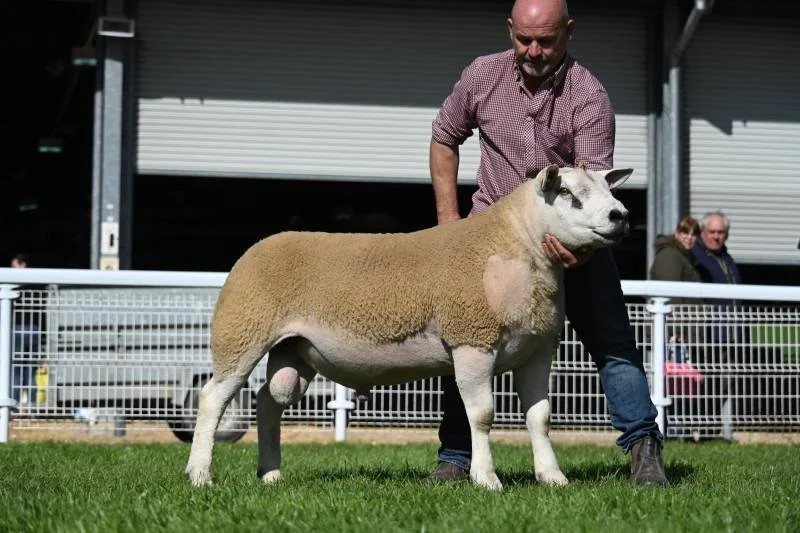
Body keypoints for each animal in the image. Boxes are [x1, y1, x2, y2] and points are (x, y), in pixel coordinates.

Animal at [185, 164, 632, 491]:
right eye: (569, 195)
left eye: (606, 190)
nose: (620, 216)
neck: (512, 246)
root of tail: (257, 247)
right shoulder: (472, 340)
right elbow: (482, 416)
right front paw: (486, 479)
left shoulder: (538, 349)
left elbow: (540, 418)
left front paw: (553, 477)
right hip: (242, 333)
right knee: (212, 399)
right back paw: (200, 475)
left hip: (293, 352)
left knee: (267, 401)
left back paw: (271, 474)